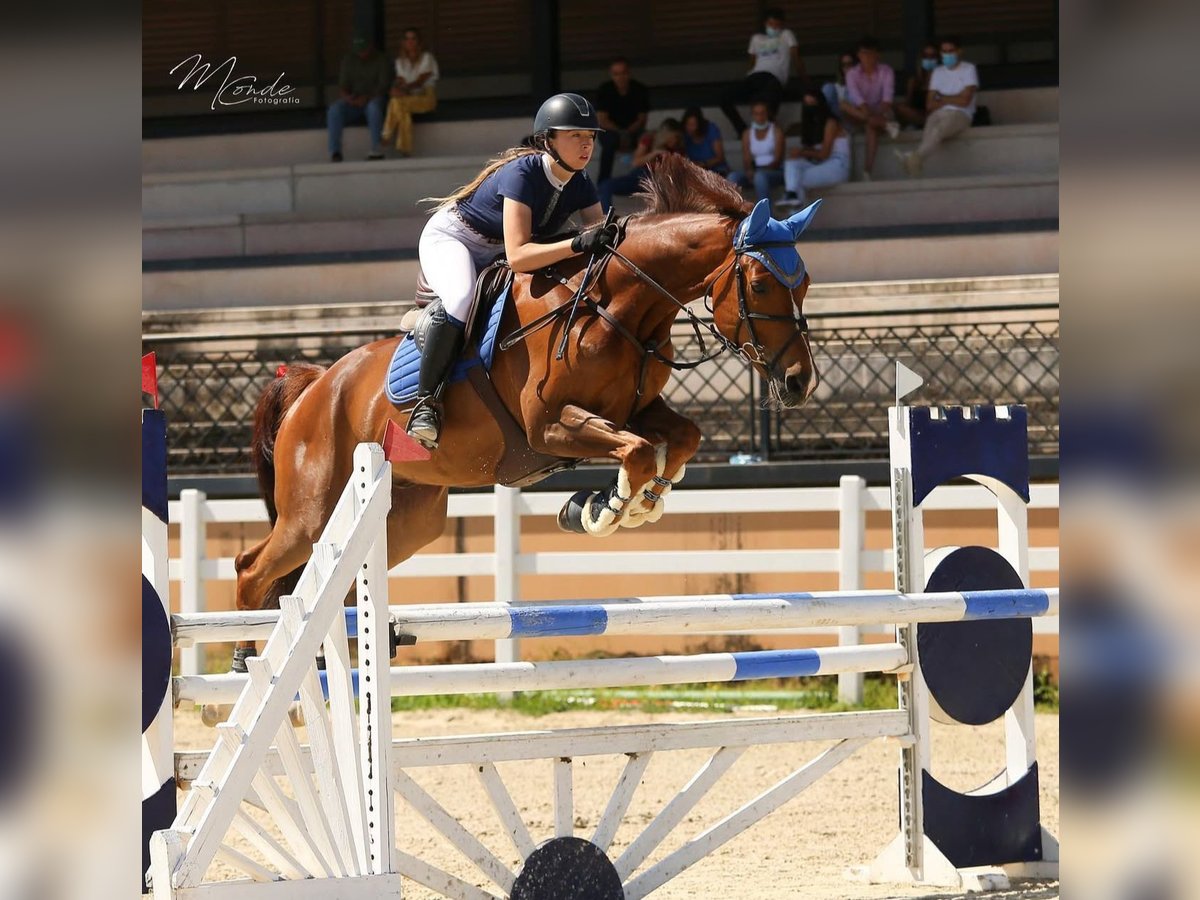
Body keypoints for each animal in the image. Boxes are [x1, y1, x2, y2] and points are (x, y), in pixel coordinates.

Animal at [229, 157, 820, 672]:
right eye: (761, 284)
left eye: (806, 283)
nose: (799, 383)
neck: (613, 308)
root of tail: (313, 385)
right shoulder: (549, 426)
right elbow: (635, 451)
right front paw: (605, 509)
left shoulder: (637, 409)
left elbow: (682, 436)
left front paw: (638, 502)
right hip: (312, 511)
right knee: (252, 567)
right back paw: (242, 661)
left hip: (407, 519)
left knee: (329, 583)